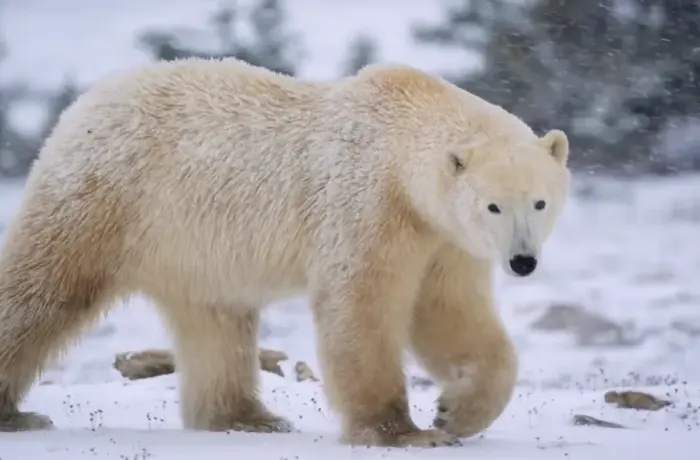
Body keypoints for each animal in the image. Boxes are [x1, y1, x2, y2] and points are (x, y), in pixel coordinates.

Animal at [0, 57, 570, 446]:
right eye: (493, 205)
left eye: (540, 201)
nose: (523, 261)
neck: (398, 139)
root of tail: (85, 101)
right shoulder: (367, 203)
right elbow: (362, 305)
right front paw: (400, 431)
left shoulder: (443, 237)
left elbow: (449, 313)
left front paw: (456, 411)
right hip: (107, 196)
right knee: (42, 287)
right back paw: (18, 413)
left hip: (193, 246)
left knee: (216, 322)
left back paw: (246, 418)